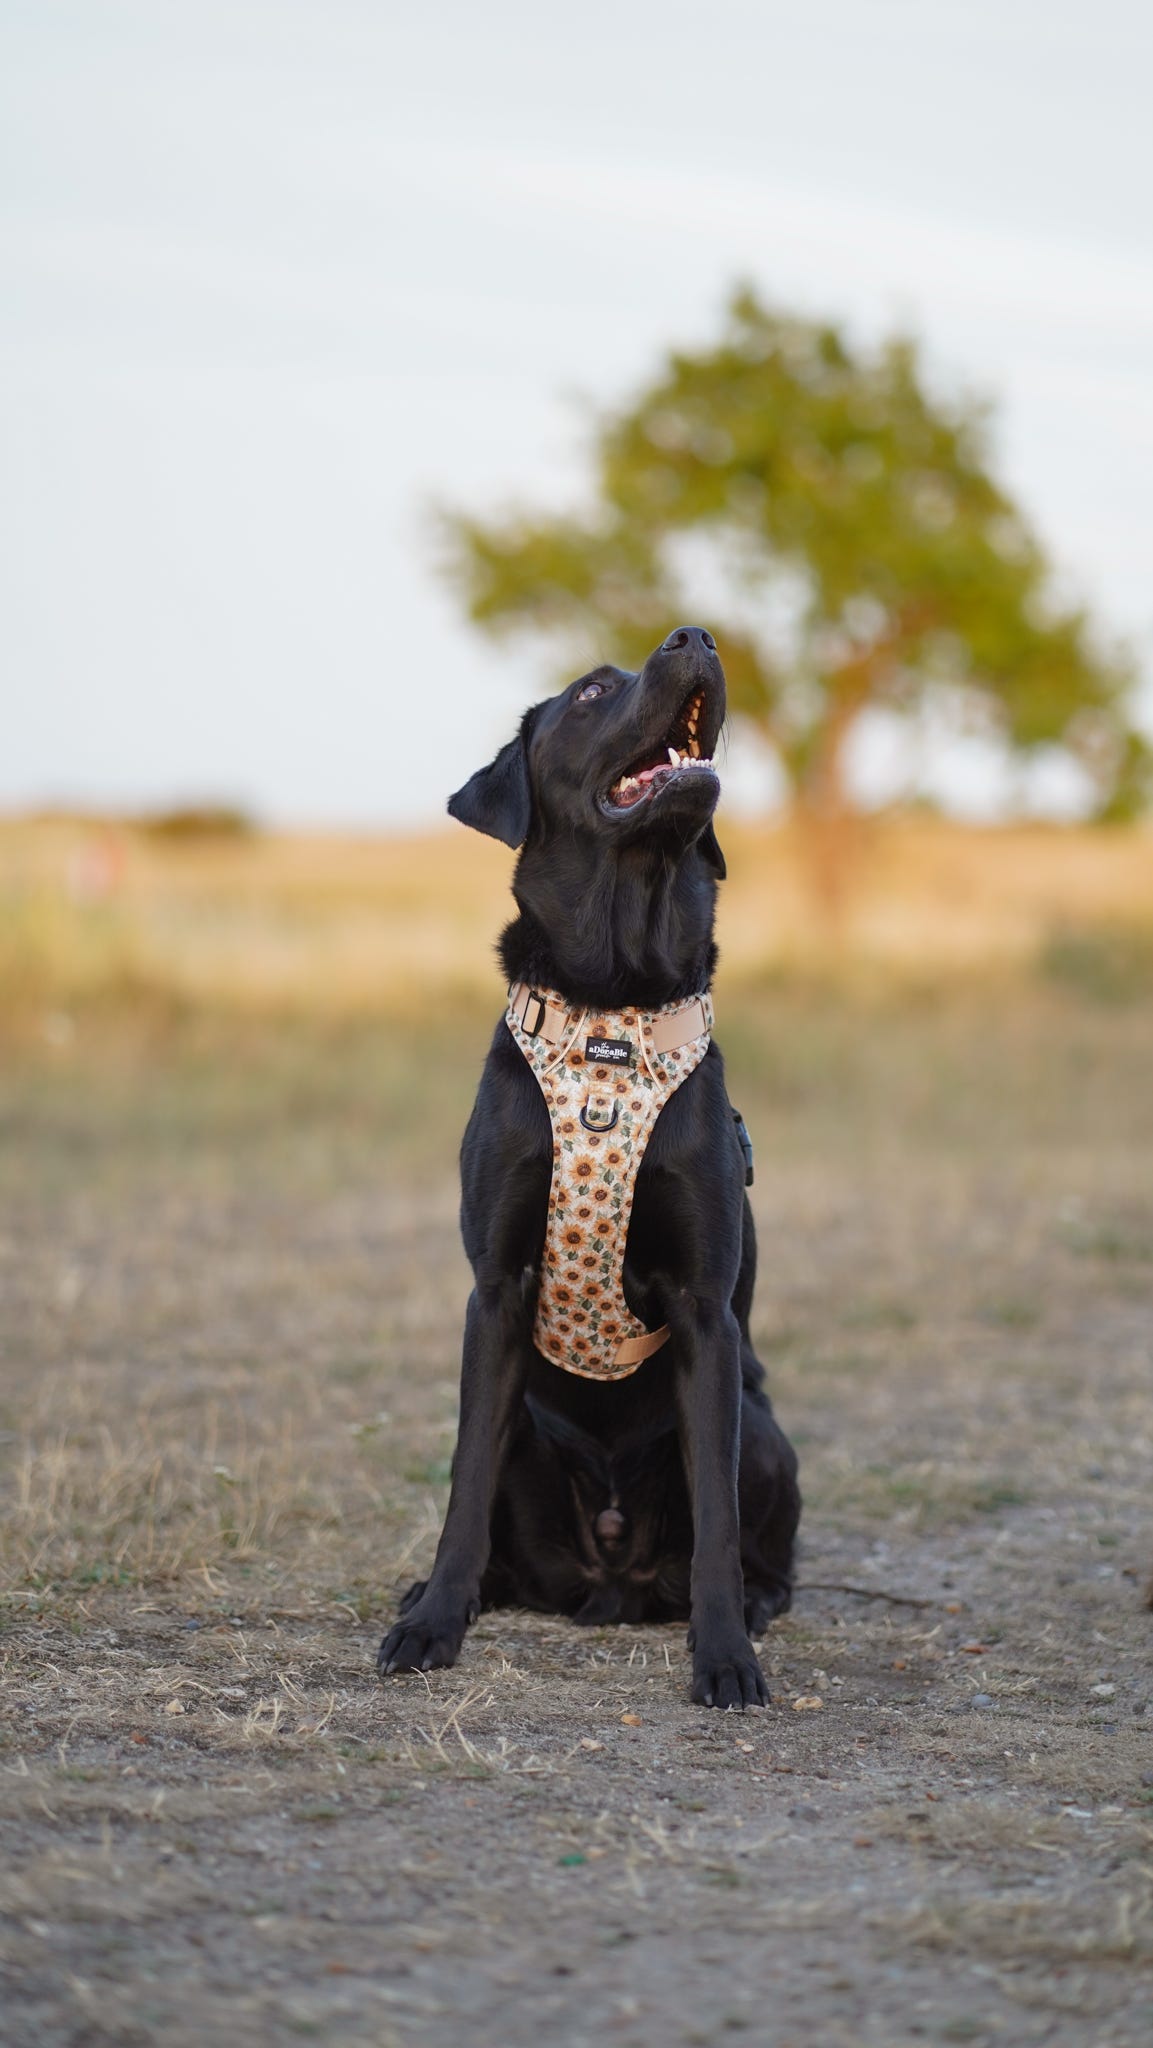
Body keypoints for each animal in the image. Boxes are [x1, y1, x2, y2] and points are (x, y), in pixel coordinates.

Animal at [378, 626, 800, 1708]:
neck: (614, 1006)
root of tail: (609, 1576)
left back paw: (757, 1605)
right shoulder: (496, 1287)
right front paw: (432, 1625)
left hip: (761, 1427)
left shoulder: (703, 1310)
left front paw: (723, 1656)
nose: (696, 634)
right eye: (591, 693)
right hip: (531, 1426)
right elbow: (463, 1487)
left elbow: (716, 1523)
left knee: (756, 1541)